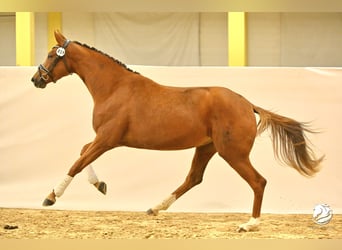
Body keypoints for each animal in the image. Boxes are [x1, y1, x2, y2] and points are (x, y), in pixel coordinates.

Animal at [30, 31, 322, 232]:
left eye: (51, 55)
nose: (36, 79)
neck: (115, 88)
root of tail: (247, 103)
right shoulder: (103, 139)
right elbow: (82, 154)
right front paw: (100, 185)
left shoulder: (107, 139)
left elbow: (77, 162)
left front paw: (51, 196)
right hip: (206, 148)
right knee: (193, 178)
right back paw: (155, 208)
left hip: (233, 153)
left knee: (258, 182)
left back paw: (250, 224)